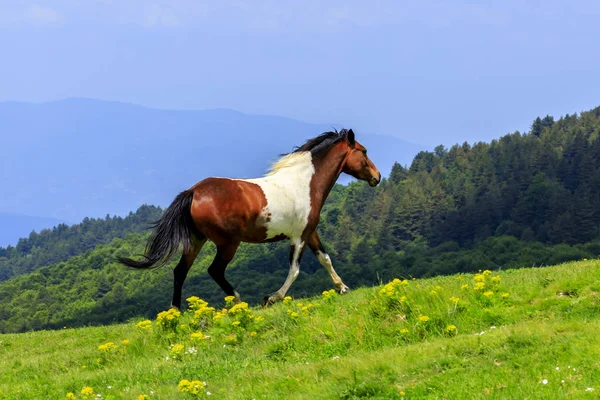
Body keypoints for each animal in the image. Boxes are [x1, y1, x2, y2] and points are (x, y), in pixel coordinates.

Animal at [118, 130, 380, 308]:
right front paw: (271, 298)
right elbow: (295, 269)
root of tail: (193, 192)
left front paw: (343, 287)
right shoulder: (298, 236)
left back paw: (175, 310)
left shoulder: (310, 232)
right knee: (214, 270)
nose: (376, 177)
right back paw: (237, 300)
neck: (305, 183)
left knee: (180, 271)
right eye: (364, 152)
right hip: (228, 243)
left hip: (196, 240)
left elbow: (325, 259)